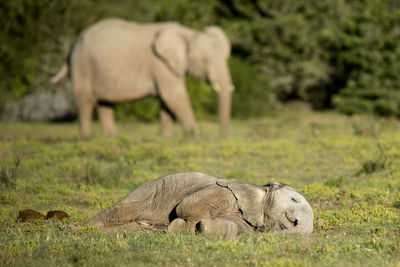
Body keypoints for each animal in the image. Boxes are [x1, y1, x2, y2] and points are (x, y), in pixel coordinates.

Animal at [52, 18, 234, 138]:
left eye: (226, 58)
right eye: (205, 61)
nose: (222, 136)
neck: (188, 32)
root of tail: (73, 46)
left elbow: (167, 101)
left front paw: (164, 137)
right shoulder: (160, 63)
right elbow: (173, 95)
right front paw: (194, 134)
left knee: (105, 103)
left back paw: (110, 137)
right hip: (82, 64)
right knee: (85, 100)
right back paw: (86, 137)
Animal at [68, 172, 312, 237]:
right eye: (294, 200)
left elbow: (227, 228)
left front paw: (198, 227)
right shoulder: (224, 191)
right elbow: (186, 206)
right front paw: (180, 227)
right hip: (150, 192)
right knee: (121, 210)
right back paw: (73, 228)